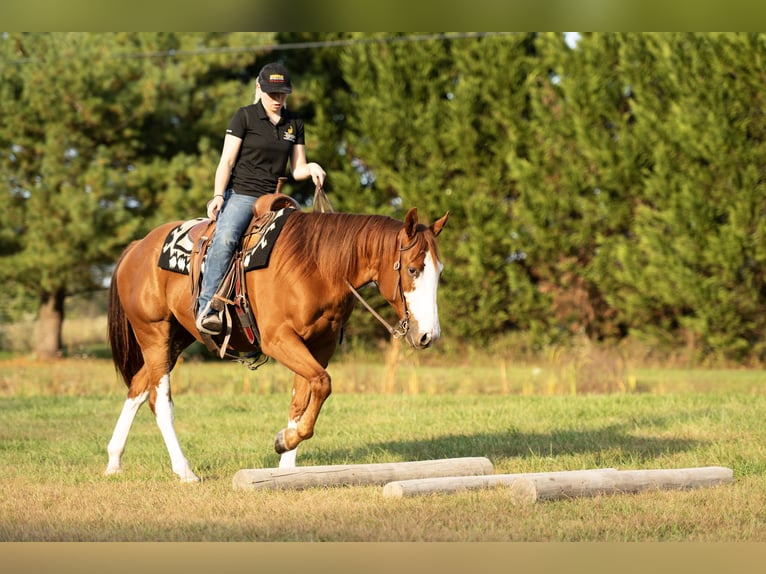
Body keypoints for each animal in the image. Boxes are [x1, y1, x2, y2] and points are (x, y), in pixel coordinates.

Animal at [104, 205, 449, 482]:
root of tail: (137, 248)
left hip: (177, 338)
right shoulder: (279, 339)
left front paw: (286, 462)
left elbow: (302, 398)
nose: (428, 335)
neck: (316, 265)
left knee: (137, 387)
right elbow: (322, 383)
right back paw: (184, 470)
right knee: (159, 400)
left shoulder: (319, 345)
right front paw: (284, 440)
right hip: (154, 333)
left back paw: (113, 461)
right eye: (412, 269)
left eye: (439, 271)